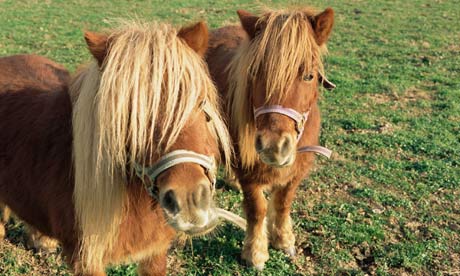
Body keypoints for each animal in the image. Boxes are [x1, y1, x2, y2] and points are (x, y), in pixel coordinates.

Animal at [207, 8, 336, 270]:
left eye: (309, 76)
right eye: (254, 72)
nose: (273, 147)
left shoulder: (297, 172)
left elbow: (283, 202)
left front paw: (284, 240)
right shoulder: (249, 173)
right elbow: (257, 209)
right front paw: (255, 253)